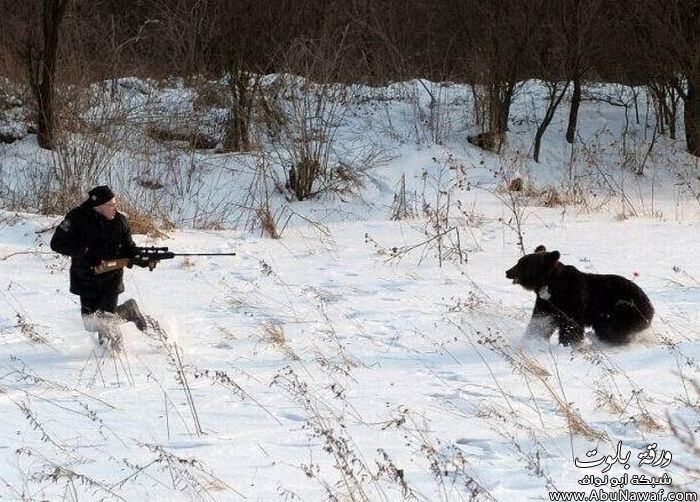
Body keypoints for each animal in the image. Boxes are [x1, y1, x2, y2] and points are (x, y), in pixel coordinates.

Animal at [506, 246, 652, 346]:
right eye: (519, 261)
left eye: (523, 264)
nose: (508, 271)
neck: (550, 284)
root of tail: (650, 306)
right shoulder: (546, 303)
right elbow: (541, 320)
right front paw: (531, 338)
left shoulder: (572, 300)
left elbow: (571, 325)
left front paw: (568, 342)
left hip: (622, 310)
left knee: (610, 329)